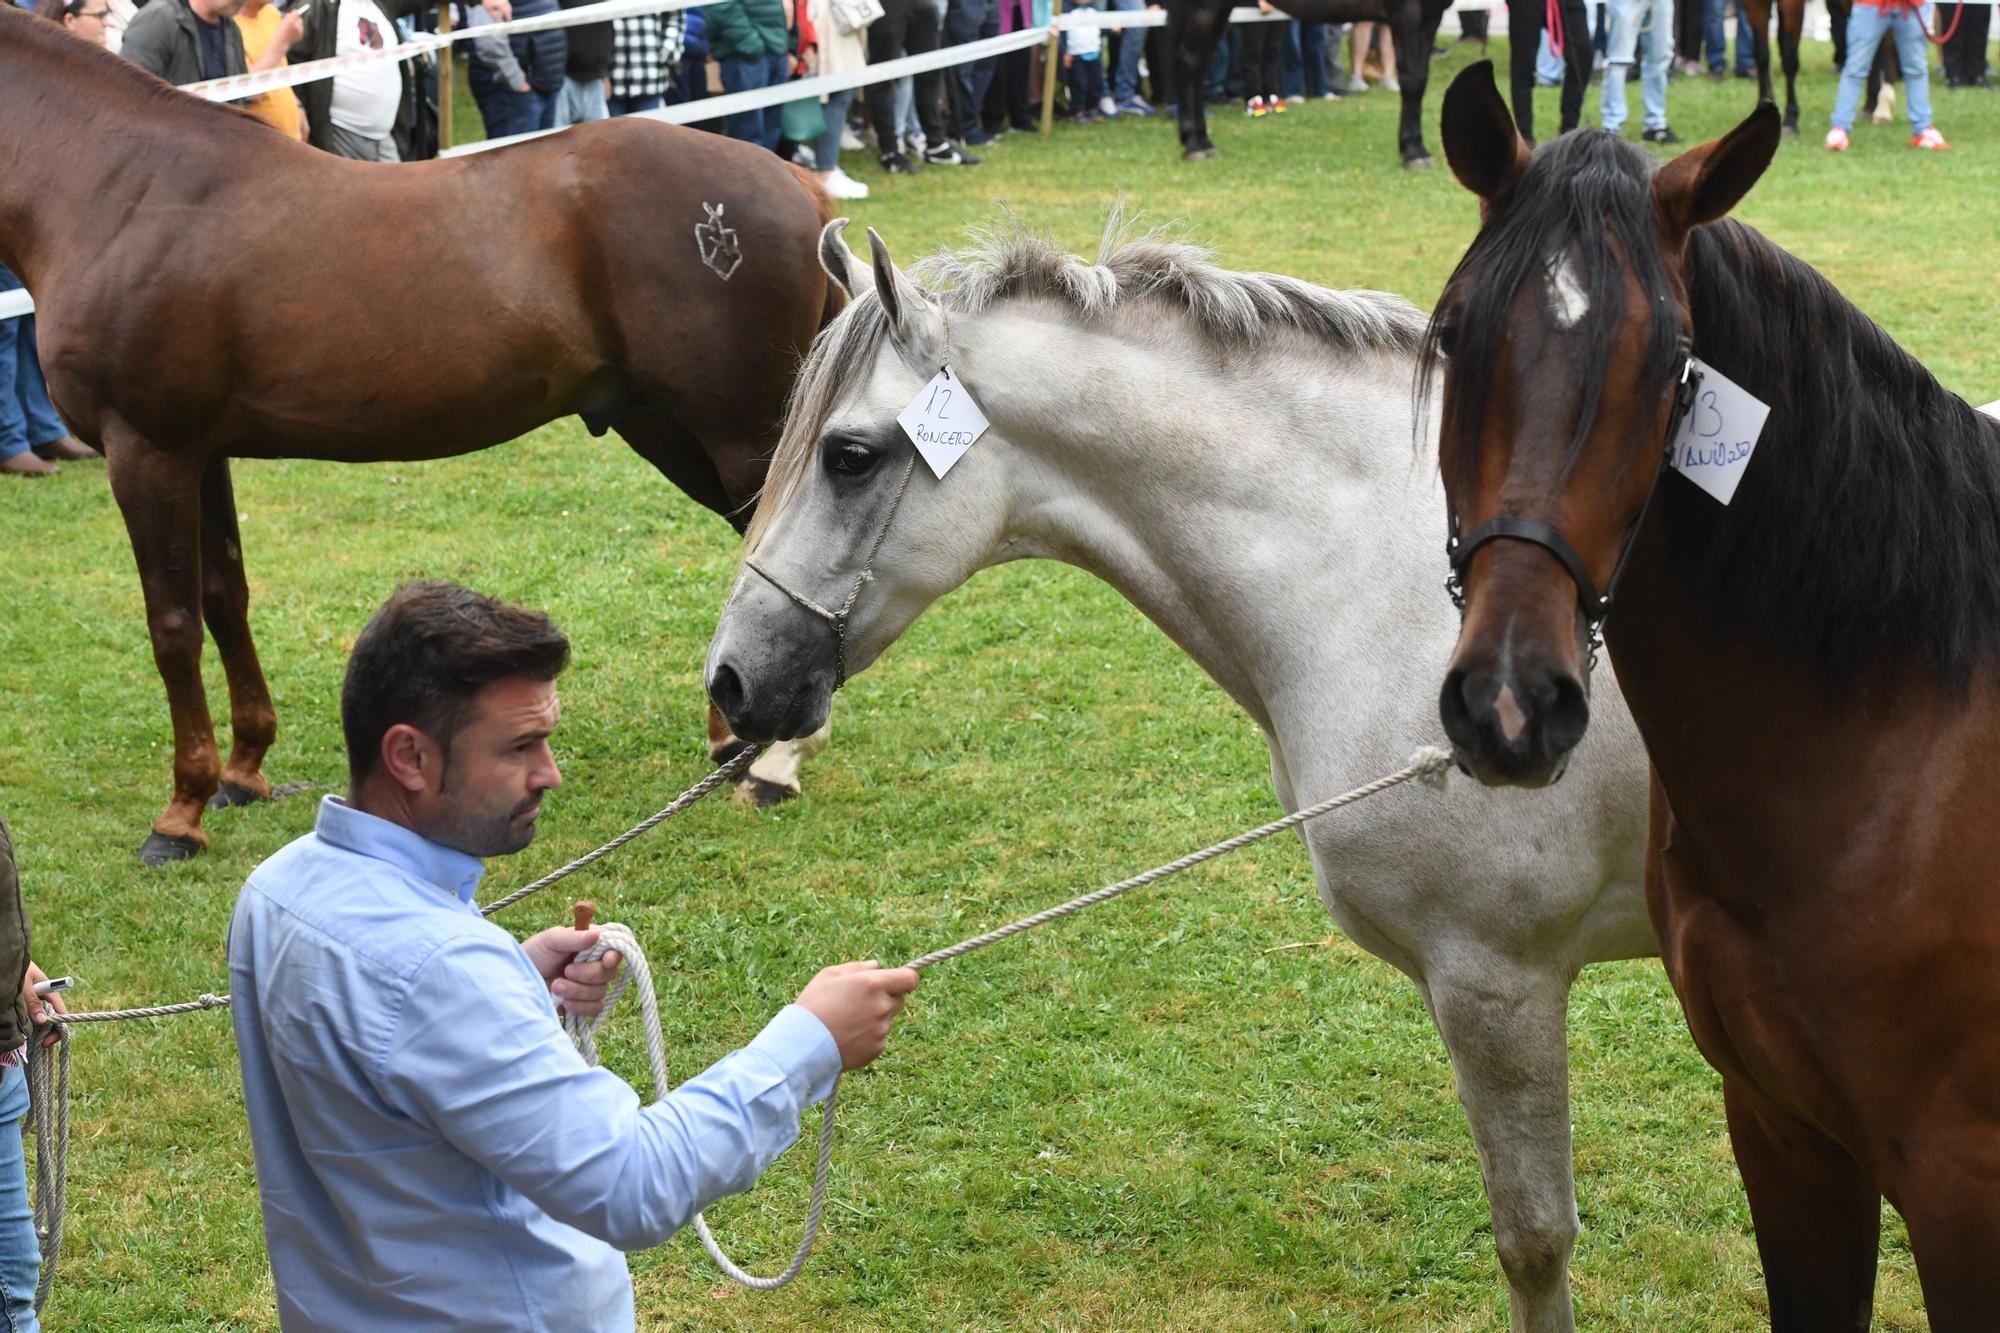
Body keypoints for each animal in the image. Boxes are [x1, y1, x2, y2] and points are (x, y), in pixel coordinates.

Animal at [0, 7, 844, 860]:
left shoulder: (147, 450)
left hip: (737, 436)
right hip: (669, 427)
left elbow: (171, 627)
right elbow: (223, 598)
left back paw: (776, 760)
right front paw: (243, 772)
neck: (123, 187)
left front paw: (182, 811)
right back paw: (732, 739)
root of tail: (796, 183)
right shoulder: (201, 453)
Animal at [1160, 0, 1456, 164]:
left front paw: (1414, 146)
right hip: (1205, 8)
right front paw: (1415, 152)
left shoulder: (1431, 16)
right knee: (1190, 63)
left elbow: (1420, 80)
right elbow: (1412, 81)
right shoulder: (1407, 14)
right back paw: (1195, 146)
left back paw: (1200, 141)